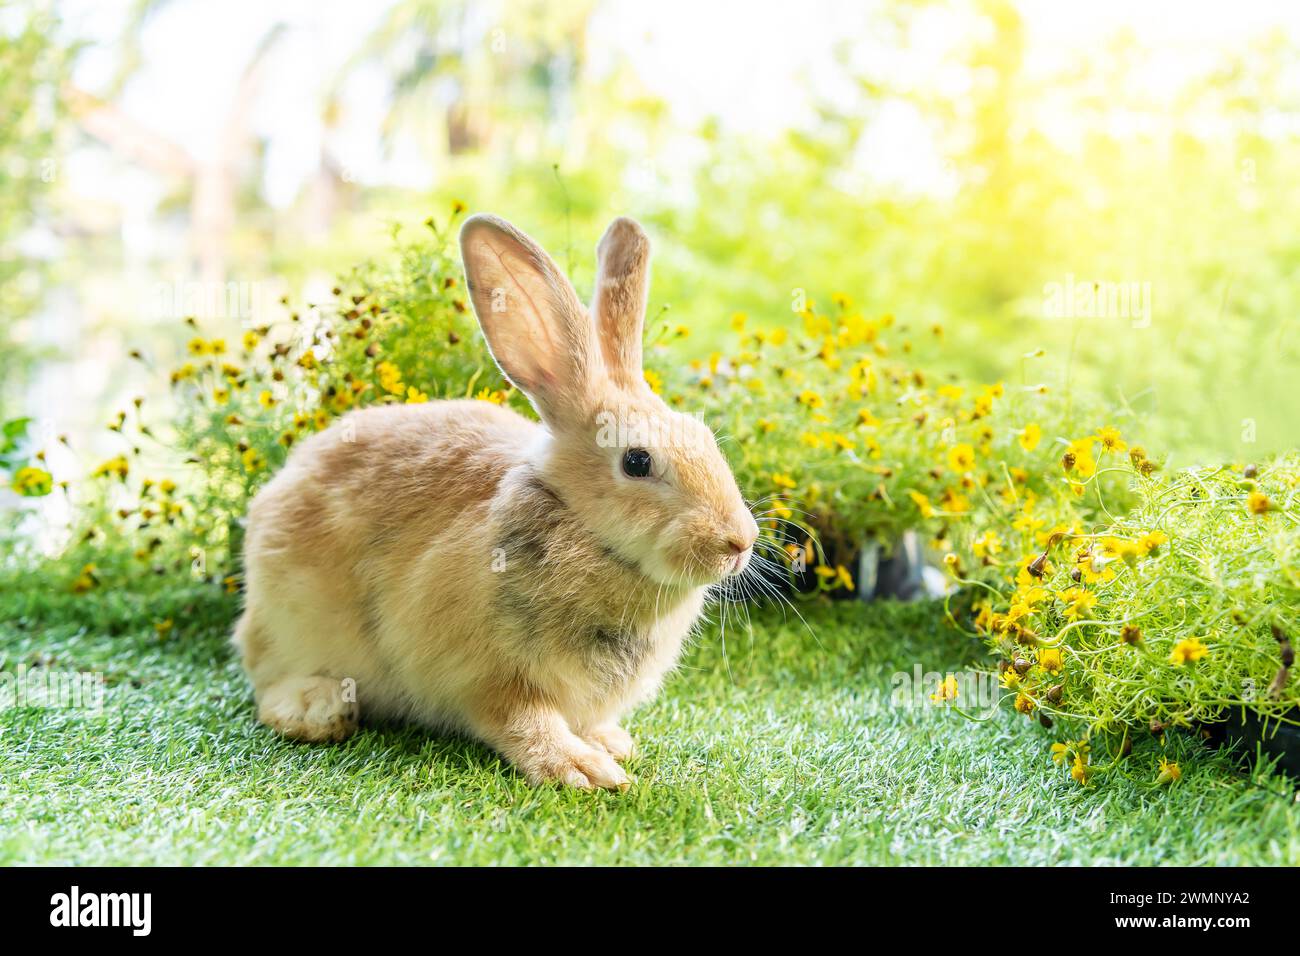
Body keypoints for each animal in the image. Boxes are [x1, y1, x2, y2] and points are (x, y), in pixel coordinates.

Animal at [232, 214, 759, 789]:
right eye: (637, 461)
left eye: (704, 438)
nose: (740, 542)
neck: (585, 531)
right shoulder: (488, 678)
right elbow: (524, 720)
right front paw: (583, 770)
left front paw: (611, 744)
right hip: (294, 622)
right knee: (269, 679)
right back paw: (318, 709)